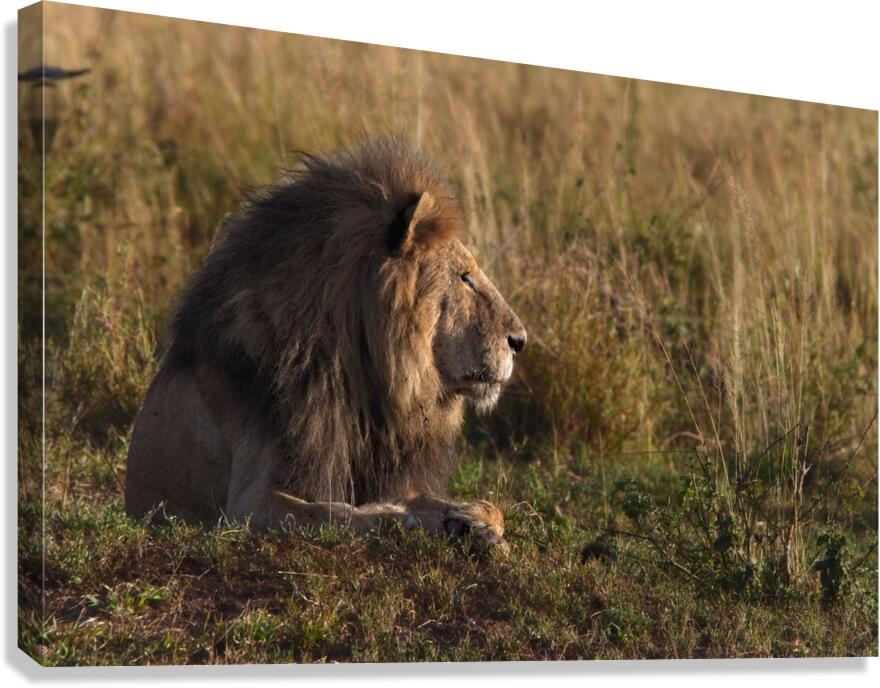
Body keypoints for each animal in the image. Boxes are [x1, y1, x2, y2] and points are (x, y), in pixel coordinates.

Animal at [124, 137, 527, 551]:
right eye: (465, 278)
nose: (520, 341)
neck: (365, 377)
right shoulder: (249, 503)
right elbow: (348, 513)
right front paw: (428, 522)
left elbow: (488, 505)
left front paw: (472, 520)